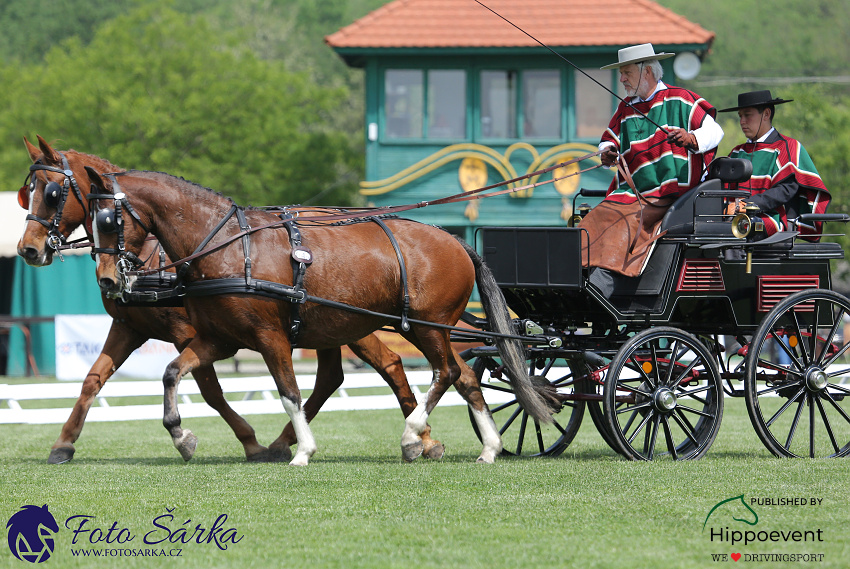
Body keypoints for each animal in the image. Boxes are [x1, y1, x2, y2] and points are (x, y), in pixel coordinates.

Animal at [16, 136, 444, 462]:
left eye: (51, 194)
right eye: (27, 194)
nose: (28, 250)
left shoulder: (189, 331)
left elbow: (210, 390)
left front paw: (244, 441)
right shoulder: (129, 326)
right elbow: (93, 379)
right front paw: (63, 444)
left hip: (350, 321)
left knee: (388, 363)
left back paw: (421, 437)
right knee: (335, 376)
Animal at [86, 166, 548, 464]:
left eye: (108, 219)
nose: (107, 280)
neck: (227, 247)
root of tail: (455, 241)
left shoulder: (270, 337)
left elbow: (289, 392)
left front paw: (303, 451)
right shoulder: (220, 339)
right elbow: (171, 373)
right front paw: (182, 437)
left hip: (427, 326)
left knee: (445, 373)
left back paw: (411, 435)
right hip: (424, 329)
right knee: (465, 376)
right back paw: (488, 448)